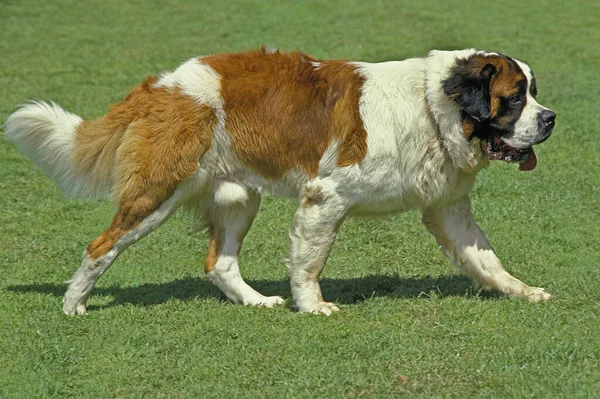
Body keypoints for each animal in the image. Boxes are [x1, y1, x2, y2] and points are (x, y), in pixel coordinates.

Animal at [5, 47, 556, 316]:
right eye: (514, 99)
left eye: (533, 93)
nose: (550, 118)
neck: (432, 106)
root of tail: (161, 85)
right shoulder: (325, 197)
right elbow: (310, 262)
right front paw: (312, 307)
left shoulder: (448, 208)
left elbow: (485, 258)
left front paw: (522, 292)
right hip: (157, 194)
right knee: (101, 246)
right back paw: (73, 305)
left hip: (237, 196)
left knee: (219, 263)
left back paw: (254, 302)